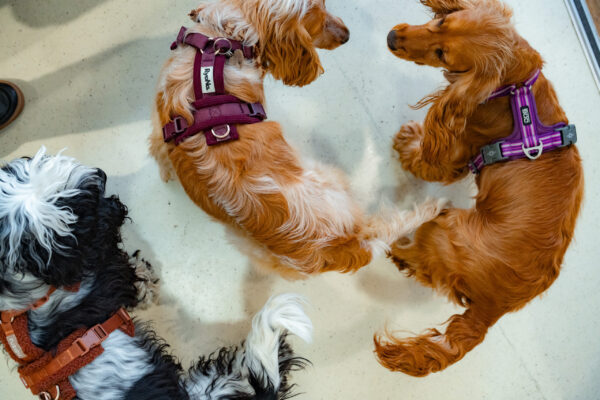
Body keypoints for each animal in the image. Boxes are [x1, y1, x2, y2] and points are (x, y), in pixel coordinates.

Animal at [0, 148, 312, 399]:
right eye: (87, 207)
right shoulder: (109, 280)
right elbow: (129, 276)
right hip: (211, 384)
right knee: (256, 369)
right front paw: (146, 280)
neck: (27, 297)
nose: (102, 177)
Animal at [149, 0, 446, 278]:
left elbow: (157, 151)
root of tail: (343, 245)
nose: (347, 35)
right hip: (331, 177)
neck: (222, 37)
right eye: (317, 17)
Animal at [377, 0, 584, 376]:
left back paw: (398, 245)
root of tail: (494, 310)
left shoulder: (458, 149)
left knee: (418, 249)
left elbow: (426, 160)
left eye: (442, 54)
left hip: (447, 226)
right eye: (441, 23)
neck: (515, 86)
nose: (391, 37)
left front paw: (408, 142)